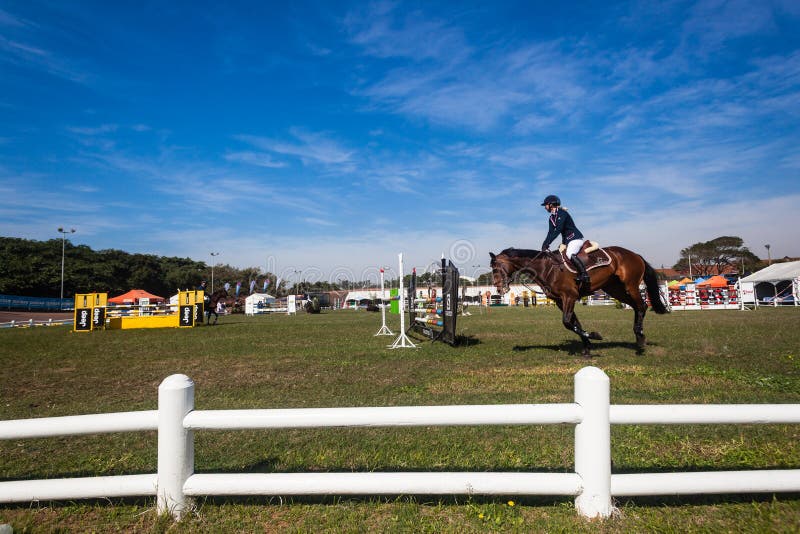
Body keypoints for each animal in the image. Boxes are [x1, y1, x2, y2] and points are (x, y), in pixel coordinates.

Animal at [488, 248, 668, 358]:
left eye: (495, 268)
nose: (499, 289)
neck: (546, 268)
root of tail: (635, 254)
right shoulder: (560, 301)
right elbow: (575, 323)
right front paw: (587, 346)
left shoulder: (569, 296)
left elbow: (568, 322)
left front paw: (595, 336)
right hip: (615, 289)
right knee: (637, 307)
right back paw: (639, 338)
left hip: (630, 285)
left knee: (642, 306)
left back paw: (640, 338)